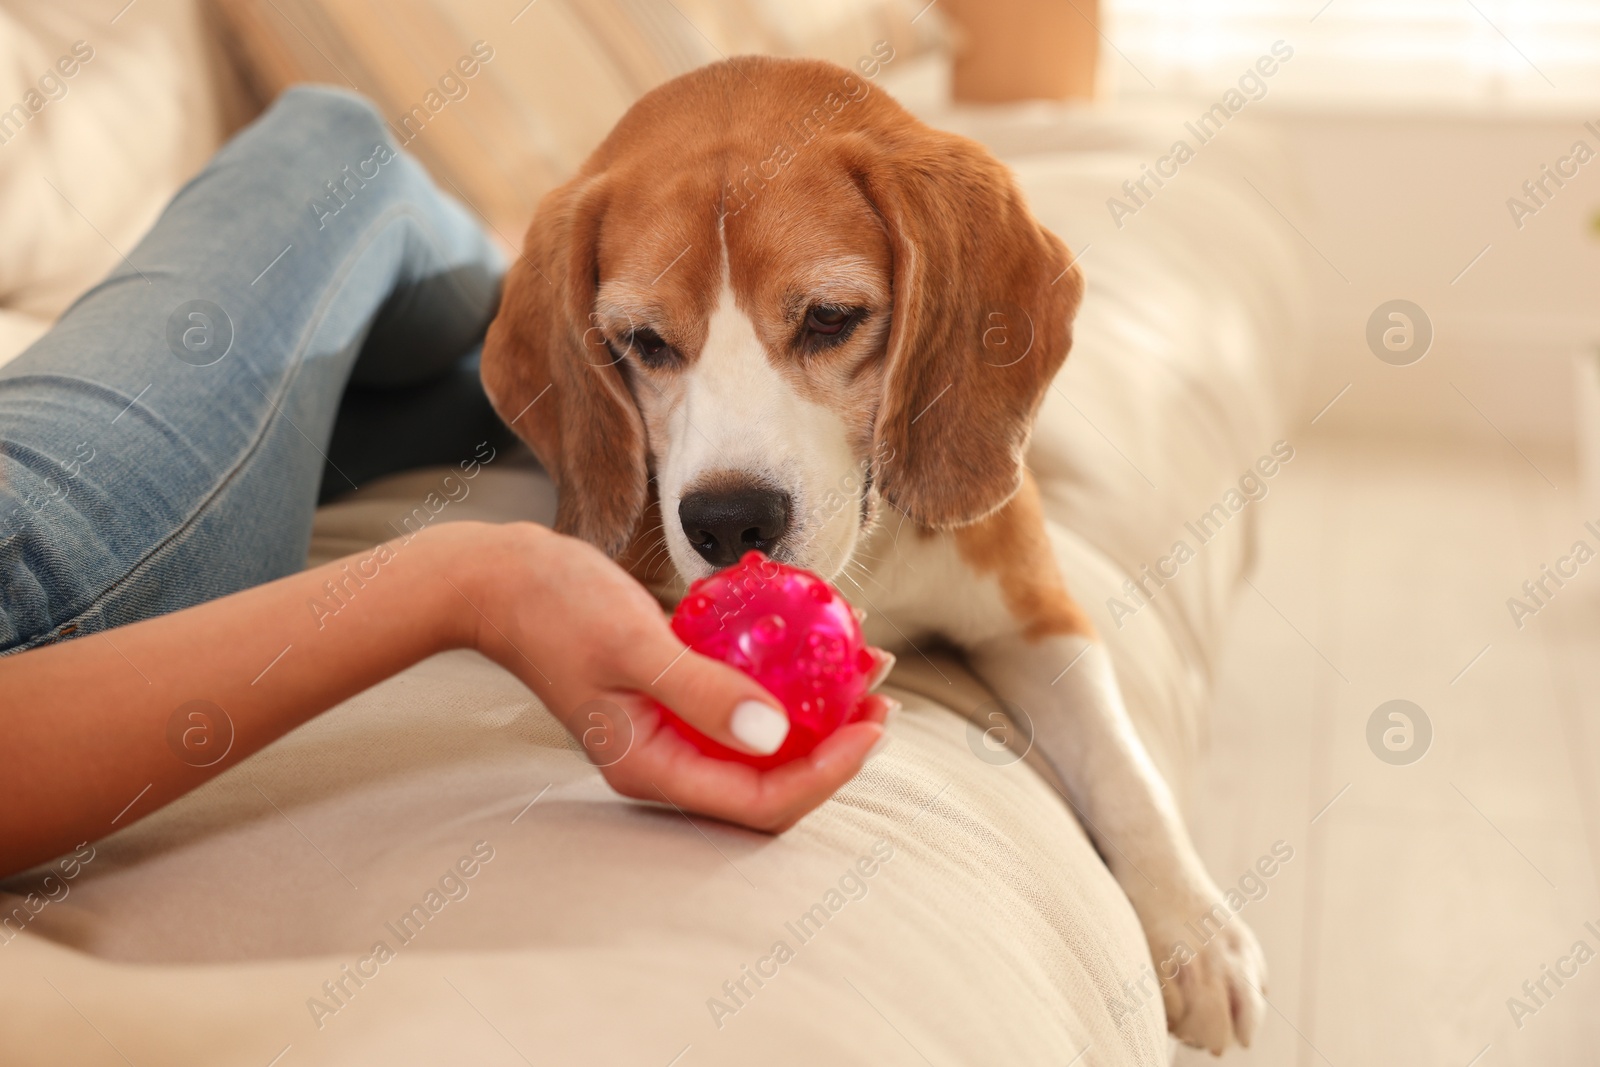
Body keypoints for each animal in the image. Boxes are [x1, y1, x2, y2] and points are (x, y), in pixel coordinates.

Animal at [480, 54, 1267, 1049]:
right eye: (643, 342)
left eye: (828, 318)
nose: (726, 521)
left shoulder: (1040, 615)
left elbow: (1126, 770)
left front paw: (1198, 932)